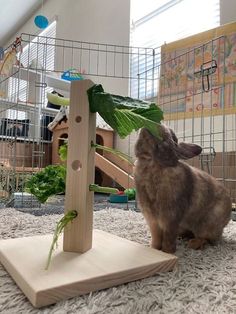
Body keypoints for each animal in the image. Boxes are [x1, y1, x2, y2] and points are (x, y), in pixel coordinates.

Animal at [134, 124, 231, 253]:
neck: (152, 163)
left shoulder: (171, 217)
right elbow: (156, 237)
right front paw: (153, 249)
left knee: (206, 238)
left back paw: (193, 244)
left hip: (207, 224)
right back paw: (183, 237)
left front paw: (167, 252)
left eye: (172, 136)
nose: (158, 124)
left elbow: (168, 237)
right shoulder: (152, 219)